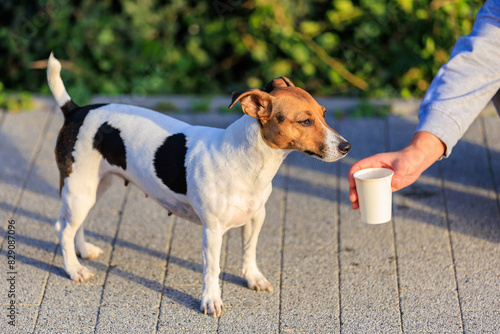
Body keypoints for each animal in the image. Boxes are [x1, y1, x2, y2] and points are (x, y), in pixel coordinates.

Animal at [47, 52, 352, 316]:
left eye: (324, 113)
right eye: (305, 121)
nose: (347, 147)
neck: (248, 161)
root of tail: (75, 110)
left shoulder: (256, 217)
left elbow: (249, 251)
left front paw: (253, 278)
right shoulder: (213, 230)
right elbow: (212, 269)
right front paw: (211, 300)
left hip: (94, 187)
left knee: (73, 224)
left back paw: (83, 251)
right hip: (80, 190)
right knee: (63, 229)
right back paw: (74, 269)